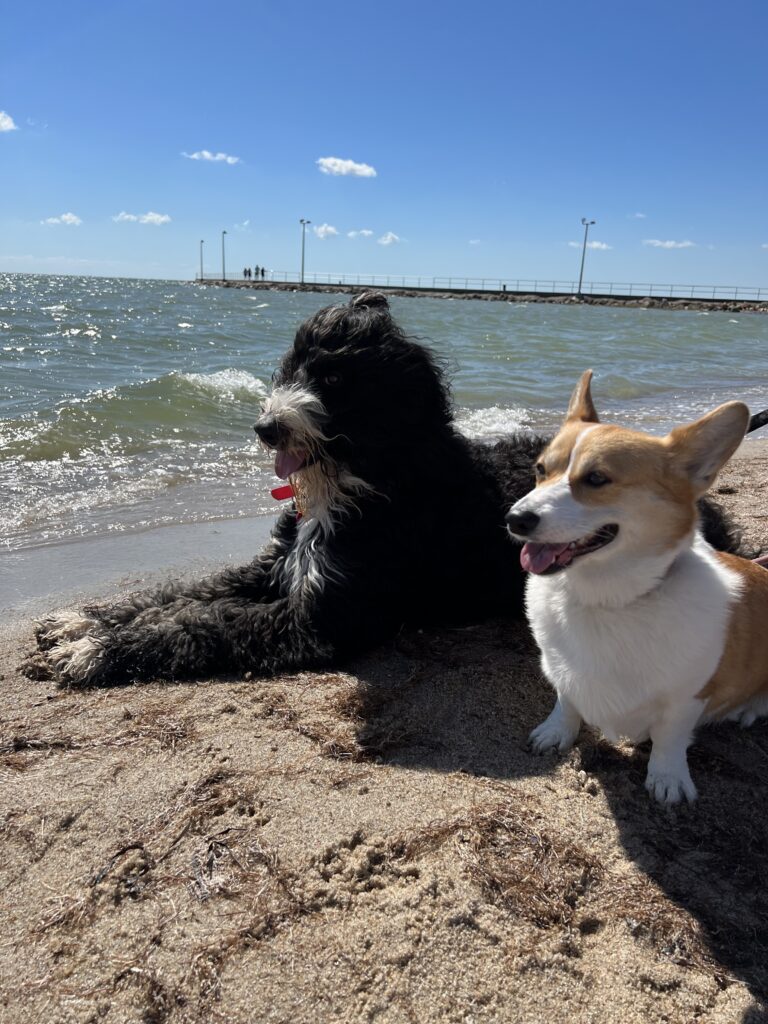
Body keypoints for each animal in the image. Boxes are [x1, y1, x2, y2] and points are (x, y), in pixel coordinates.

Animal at [33, 290, 749, 688]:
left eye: (336, 380)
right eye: (291, 367)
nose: (264, 427)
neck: (368, 478)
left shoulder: (320, 617)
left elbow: (201, 622)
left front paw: (95, 650)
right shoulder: (276, 567)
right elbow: (181, 593)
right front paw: (86, 622)